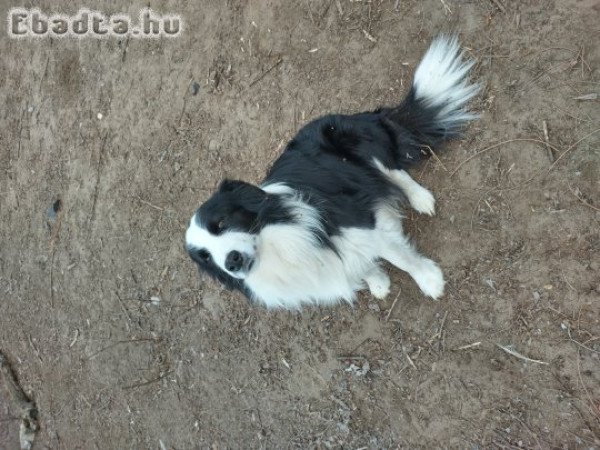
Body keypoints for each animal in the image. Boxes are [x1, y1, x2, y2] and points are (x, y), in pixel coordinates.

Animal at [185, 36, 480, 310]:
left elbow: (401, 258)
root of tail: (365, 115)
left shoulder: (361, 225)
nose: (231, 262)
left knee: (395, 172)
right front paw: (377, 281)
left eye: (222, 222)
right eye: (206, 258)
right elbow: (357, 267)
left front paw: (429, 280)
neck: (276, 245)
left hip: (355, 143)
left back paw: (421, 198)